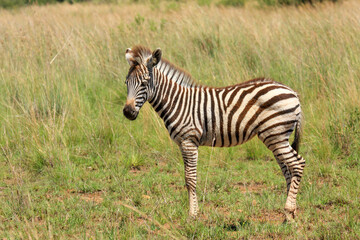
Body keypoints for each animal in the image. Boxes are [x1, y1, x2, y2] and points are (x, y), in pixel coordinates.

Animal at [122, 45, 306, 221]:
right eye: (126, 83)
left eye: (145, 83)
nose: (128, 112)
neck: (177, 102)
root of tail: (293, 92)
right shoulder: (184, 143)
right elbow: (189, 178)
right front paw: (194, 213)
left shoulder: (189, 141)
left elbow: (190, 179)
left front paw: (192, 215)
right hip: (276, 138)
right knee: (288, 170)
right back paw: (289, 216)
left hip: (276, 135)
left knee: (298, 163)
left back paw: (289, 210)